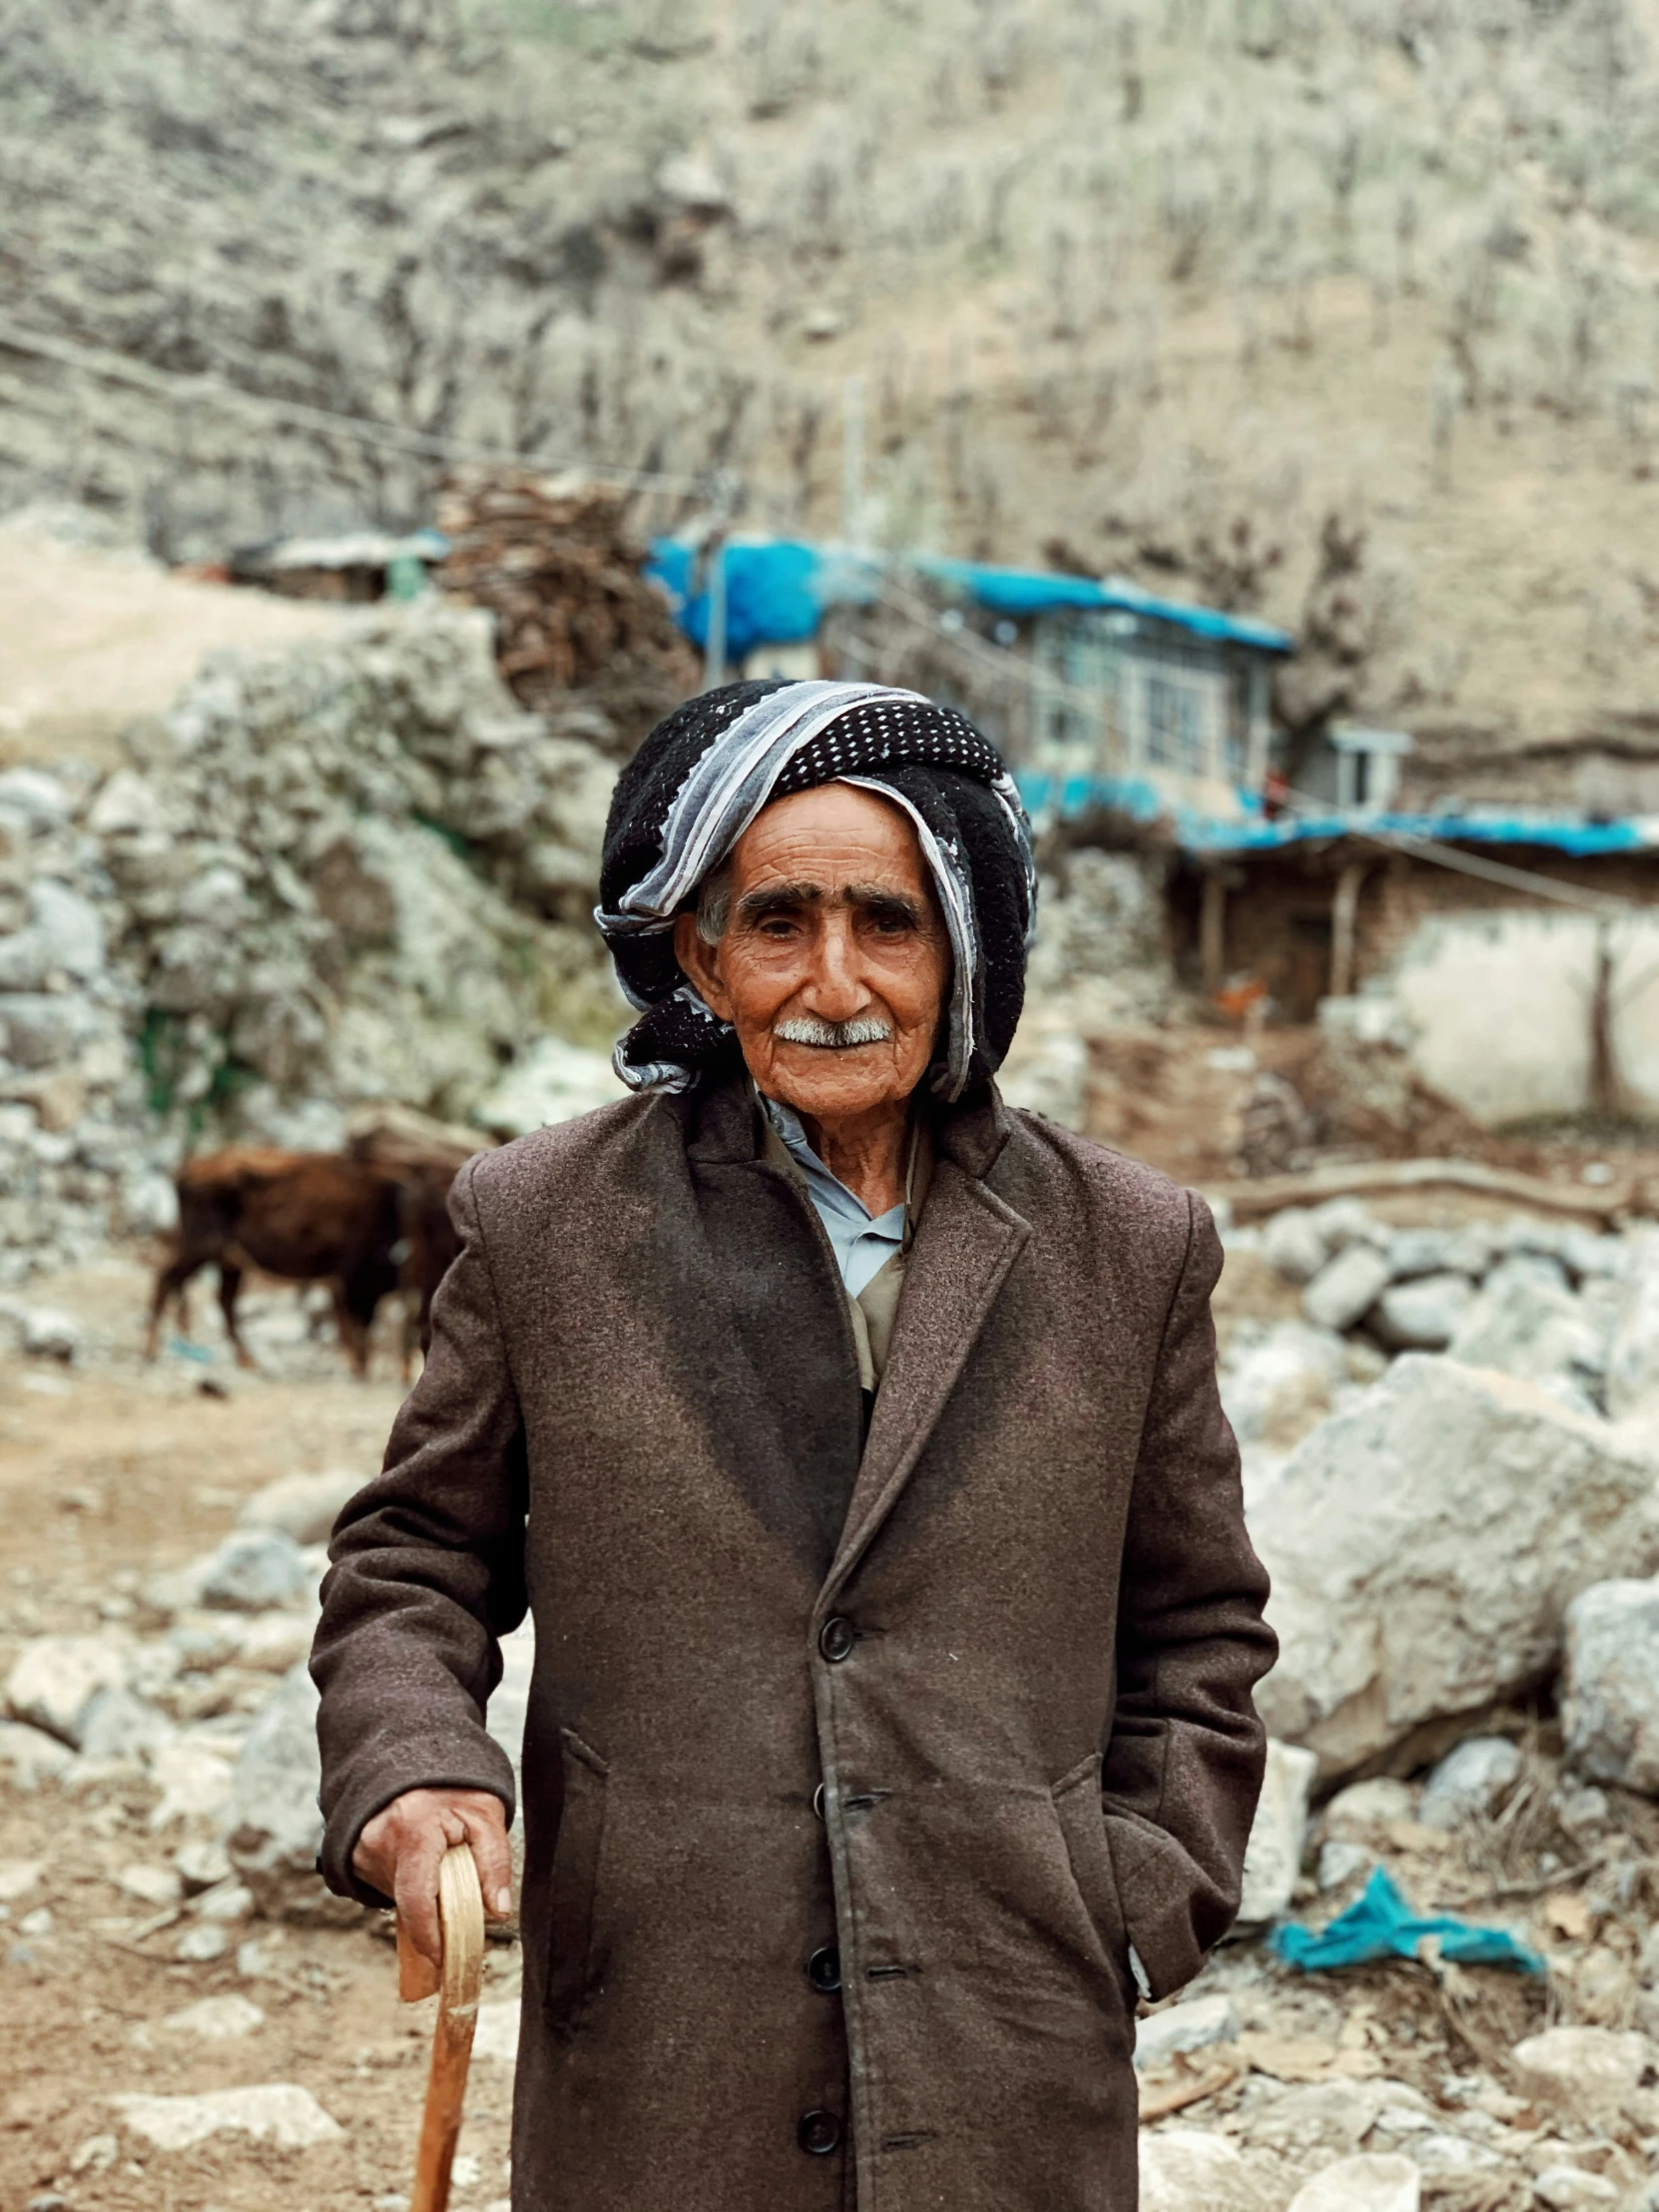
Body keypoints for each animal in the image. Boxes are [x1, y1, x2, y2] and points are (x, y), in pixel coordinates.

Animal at [148, 1150, 411, 1371]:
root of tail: (186, 1170)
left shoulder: (341, 1278)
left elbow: (347, 1318)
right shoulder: (347, 1274)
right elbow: (348, 1318)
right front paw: (358, 1364)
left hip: (227, 1261)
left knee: (221, 1300)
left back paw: (245, 1358)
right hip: (201, 1249)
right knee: (167, 1279)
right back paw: (151, 1350)